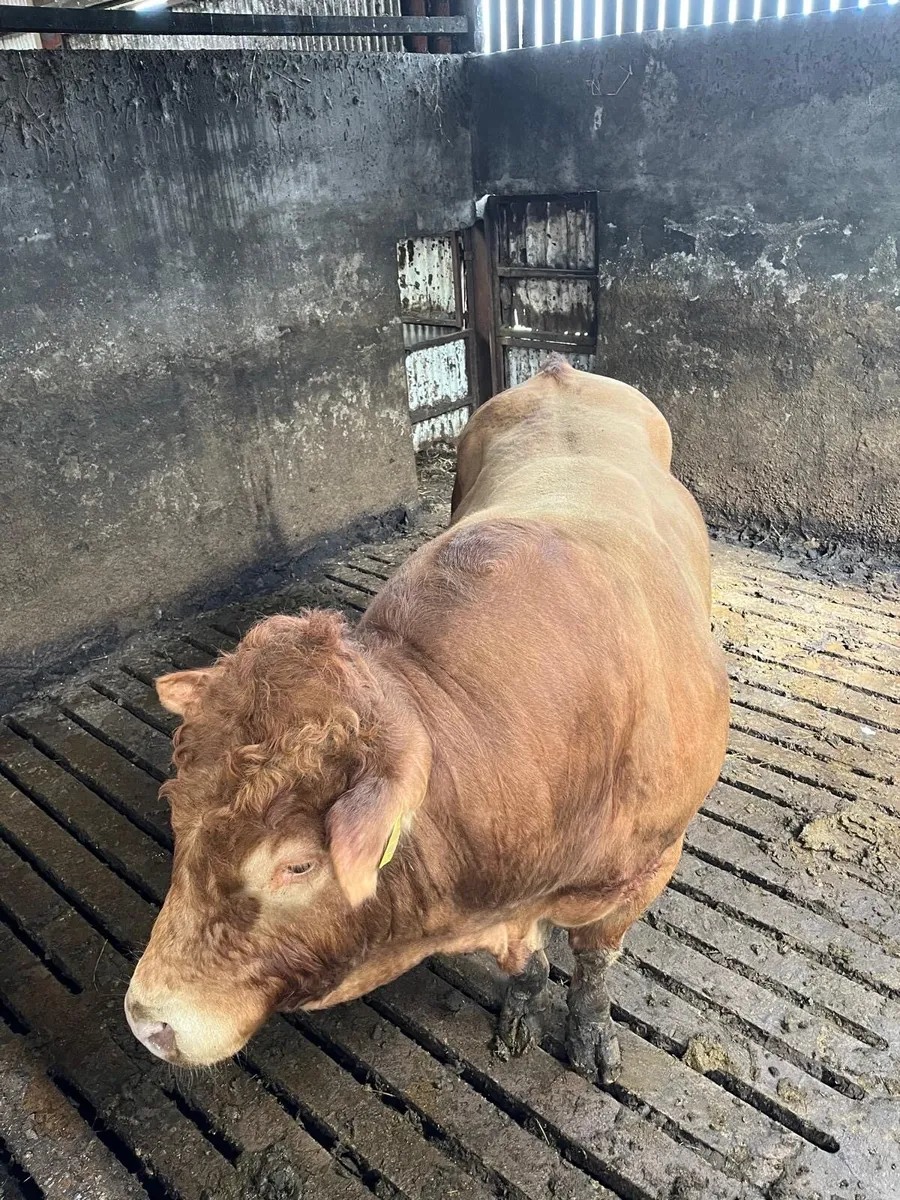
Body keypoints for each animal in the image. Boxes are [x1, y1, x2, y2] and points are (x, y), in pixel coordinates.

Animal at [125, 356, 729, 1083]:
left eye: (297, 865)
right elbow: (530, 966)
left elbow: (593, 962)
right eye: (179, 815)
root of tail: (560, 370)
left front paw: (590, 1032)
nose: (149, 1018)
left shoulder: (649, 864)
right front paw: (520, 1010)